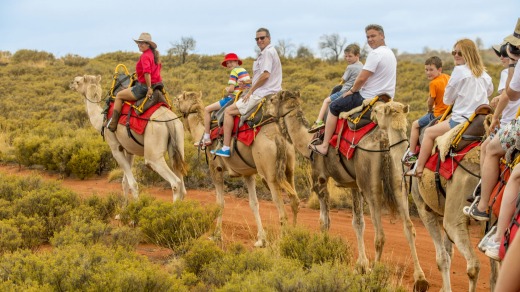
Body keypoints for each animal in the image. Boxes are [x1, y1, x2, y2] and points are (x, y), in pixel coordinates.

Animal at [174, 91, 298, 246]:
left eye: (180, 98)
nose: (173, 100)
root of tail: (277, 137)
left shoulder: (216, 169)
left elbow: (220, 203)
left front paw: (216, 235)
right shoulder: (248, 174)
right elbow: (254, 203)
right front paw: (261, 239)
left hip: (269, 172)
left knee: (281, 208)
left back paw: (282, 241)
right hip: (289, 167)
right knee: (294, 199)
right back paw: (294, 235)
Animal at [264, 90, 430, 290]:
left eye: (273, 99)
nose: (265, 110)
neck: (307, 142)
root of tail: (384, 140)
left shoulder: (319, 179)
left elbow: (324, 221)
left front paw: (324, 251)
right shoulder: (354, 185)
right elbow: (358, 223)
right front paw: (361, 265)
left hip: (371, 185)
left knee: (380, 234)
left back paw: (375, 274)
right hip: (400, 182)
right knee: (409, 227)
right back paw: (420, 279)